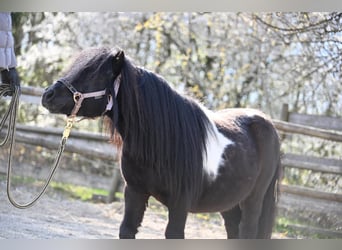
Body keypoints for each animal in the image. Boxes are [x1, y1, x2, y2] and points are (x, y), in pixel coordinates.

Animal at [42, 47, 280, 239]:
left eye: (92, 73)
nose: (47, 95)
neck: (162, 142)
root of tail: (267, 123)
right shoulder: (135, 192)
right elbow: (127, 230)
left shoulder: (180, 204)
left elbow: (173, 234)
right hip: (228, 201)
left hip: (253, 199)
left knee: (247, 231)